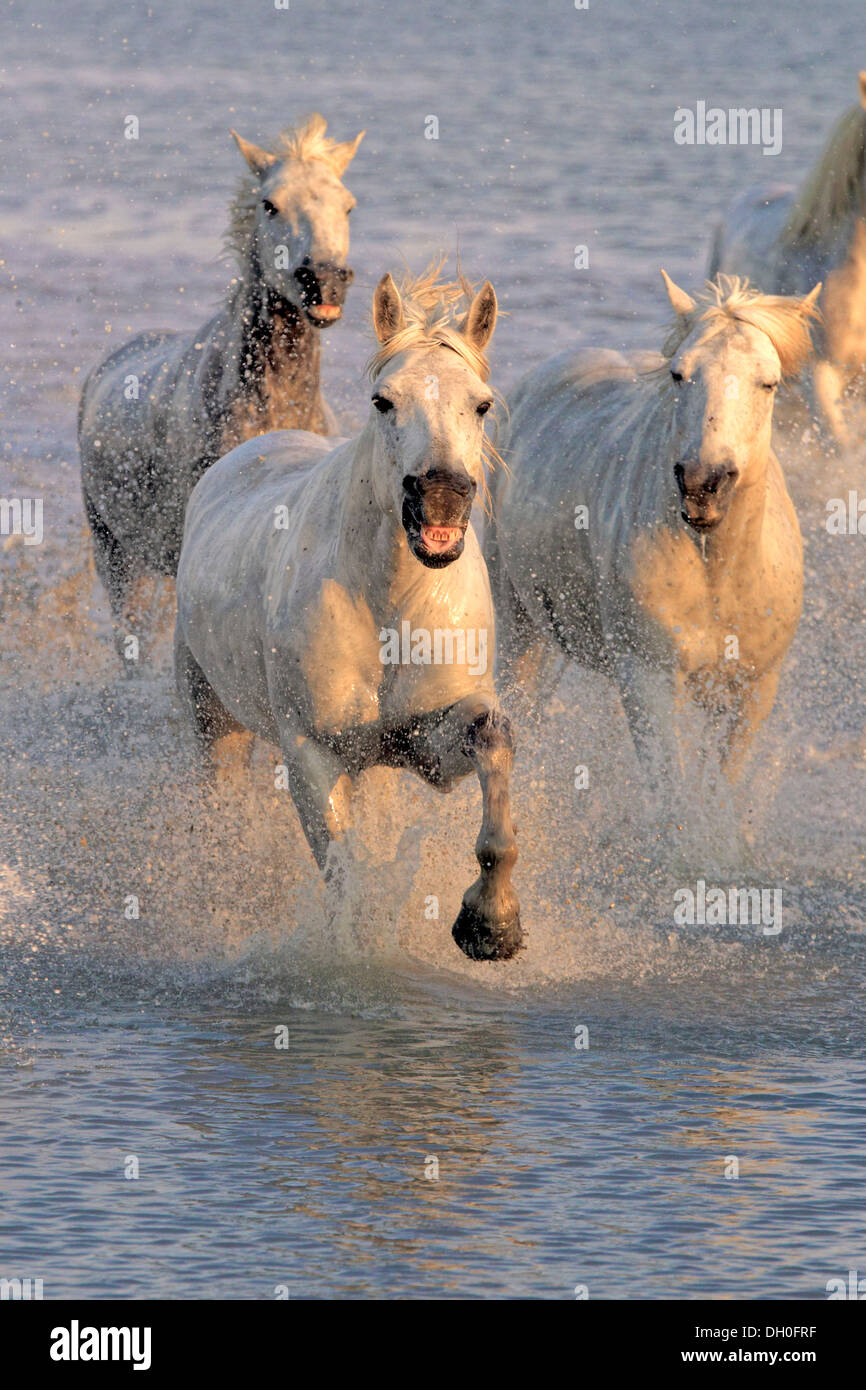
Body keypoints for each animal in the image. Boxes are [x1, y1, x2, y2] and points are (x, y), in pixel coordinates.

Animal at [176, 268, 522, 967]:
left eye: (481, 404)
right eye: (383, 401)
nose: (441, 496)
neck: (388, 609)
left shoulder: (428, 744)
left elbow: (492, 739)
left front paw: (491, 923)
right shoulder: (312, 752)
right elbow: (346, 875)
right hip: (212, 718)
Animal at [489, 269, 817, 811]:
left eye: (768, 382)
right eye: (680, 374)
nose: (703, 484)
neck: (716, 572)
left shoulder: (751, 692)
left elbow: (718, 792)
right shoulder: (648, 679)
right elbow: (672, 802)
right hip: (518, 622)